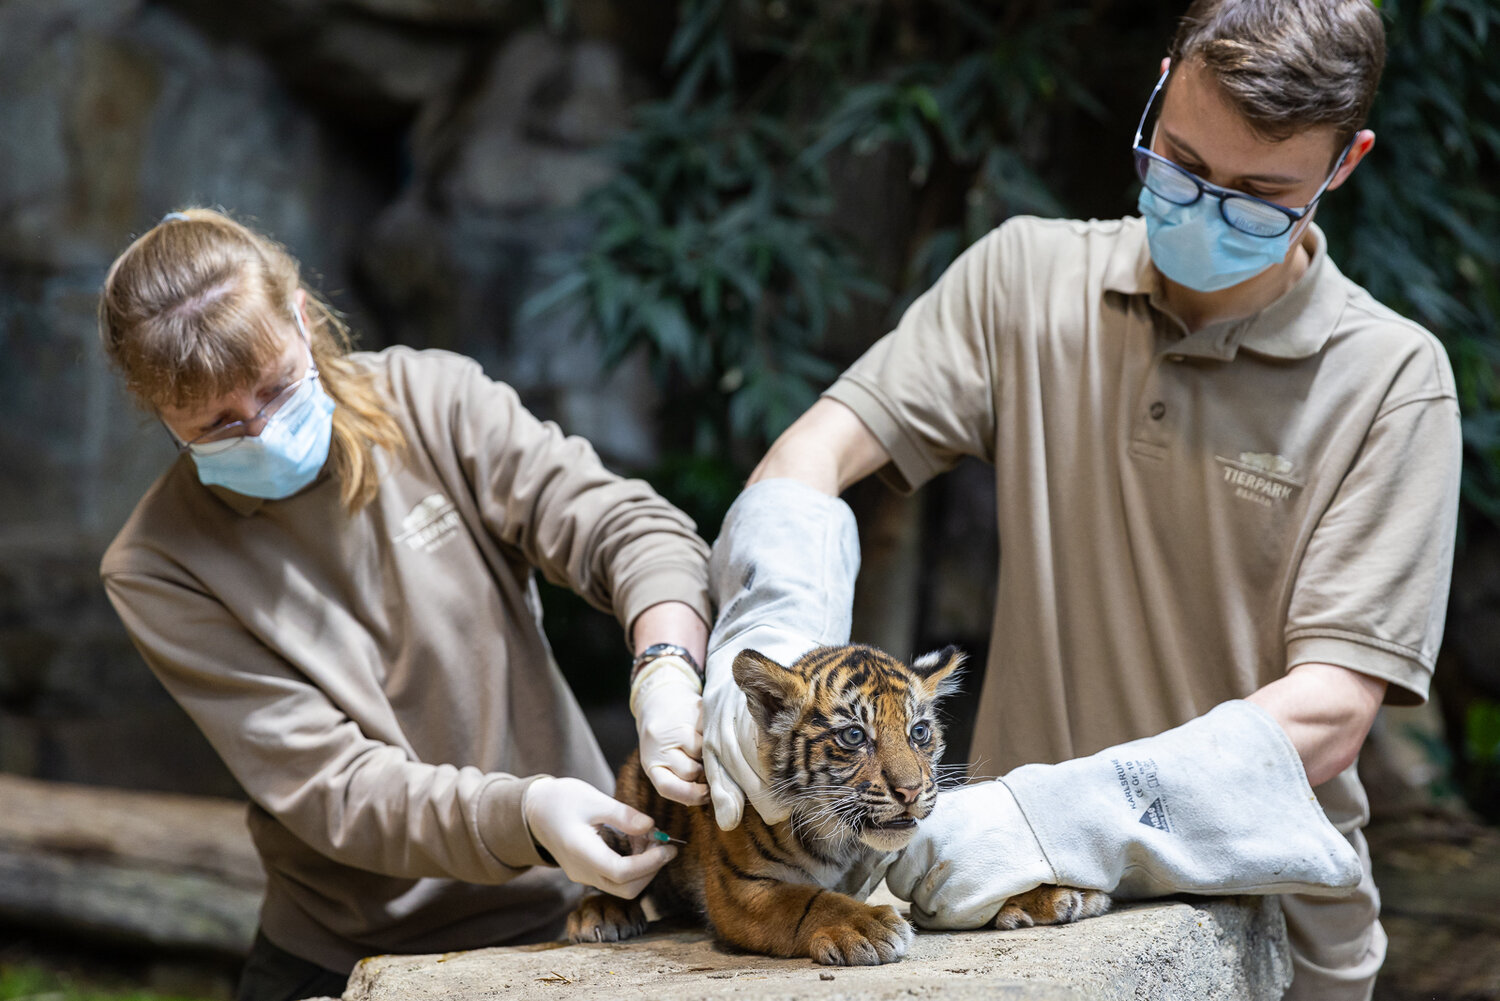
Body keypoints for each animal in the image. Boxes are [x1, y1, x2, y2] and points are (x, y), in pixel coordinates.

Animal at [567, 643, 1112, 965]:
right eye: (854, 736)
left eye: (919, 732)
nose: (910, 791)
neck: (847, 842)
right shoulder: (739, 888)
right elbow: (805, 899)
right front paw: (866, 927)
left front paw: (1051, 895)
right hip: (631, 809)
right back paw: (602, 911)